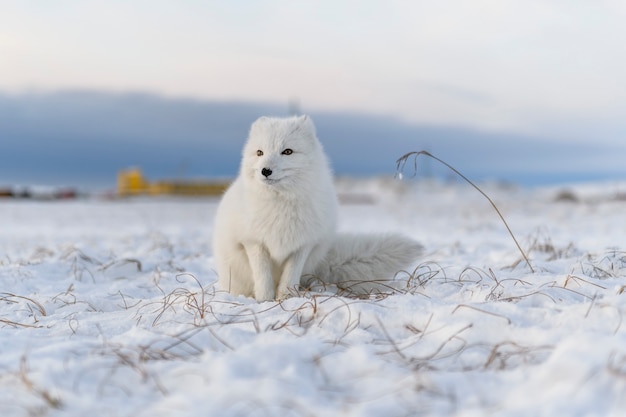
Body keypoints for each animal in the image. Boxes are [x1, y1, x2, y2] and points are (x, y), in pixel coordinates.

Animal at [212, 115, 422, 300]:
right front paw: (265, 300)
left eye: (287, 152)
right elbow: (263, 276)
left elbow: (290, 276)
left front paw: (287, 297)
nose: (265, 171)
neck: (281, 203)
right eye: (259, 153)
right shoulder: (253, 242)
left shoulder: (304, 243)